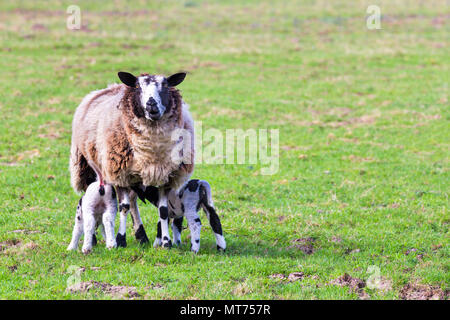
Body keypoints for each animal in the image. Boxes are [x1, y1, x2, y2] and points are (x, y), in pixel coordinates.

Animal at [71, 71, 195, 249]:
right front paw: (121, 240)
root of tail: (111, 87)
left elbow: (163, 211)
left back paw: (141, 235)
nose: (151, 104)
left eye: (165, 84)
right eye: (137, 86)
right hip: (86, 166)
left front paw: (166, 242)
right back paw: (93, 239)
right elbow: (124, 208)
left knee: (133, 199)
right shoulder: (119, 175)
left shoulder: (167, 177)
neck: (151, 151)